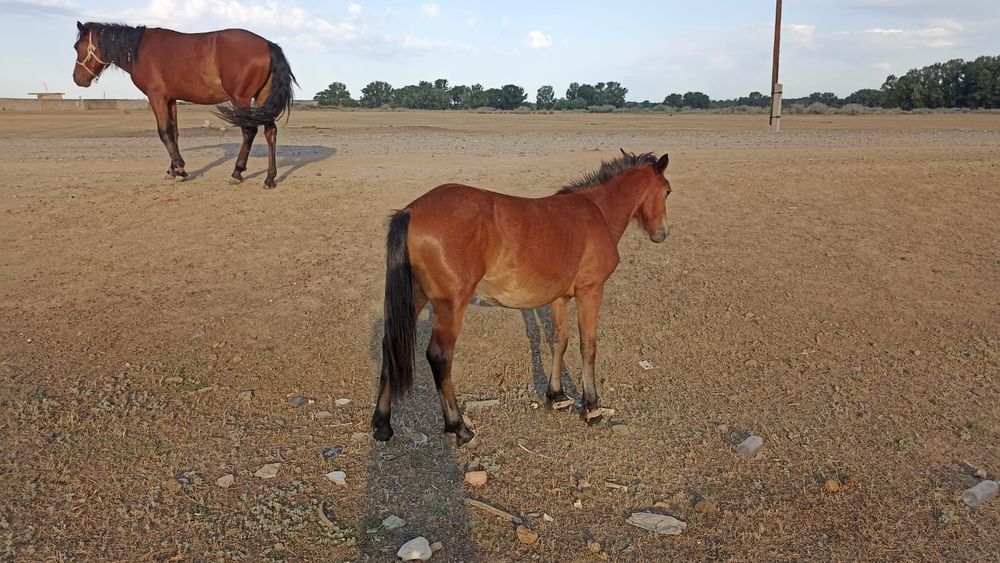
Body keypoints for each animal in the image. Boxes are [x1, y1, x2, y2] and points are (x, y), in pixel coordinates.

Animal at [72, 21, 297, 188]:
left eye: (77, 47)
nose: (77, 79)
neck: (140, 50)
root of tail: (267, 44)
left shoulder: (157, 97)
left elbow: (164, 131)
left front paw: (179, 169)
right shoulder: (171, 99)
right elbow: (174, 132)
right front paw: (173, 170)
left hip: (240, 99)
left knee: (249, 131)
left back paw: (237, 172)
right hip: (262, 99)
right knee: (270, 132)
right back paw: (270, 178)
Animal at [372, 150, 672, 446]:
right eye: (667, 191)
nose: (662, 234)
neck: (598, 212)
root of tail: (412, 210)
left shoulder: (560, 297)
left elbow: (559, 340)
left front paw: (557, 397)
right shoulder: (591, 291)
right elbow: (588, 346)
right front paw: (592, 408)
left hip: (417, 297)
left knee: (390, 345)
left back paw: (383, 425)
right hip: (451, 305)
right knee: (439, 357)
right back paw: (459, 428)